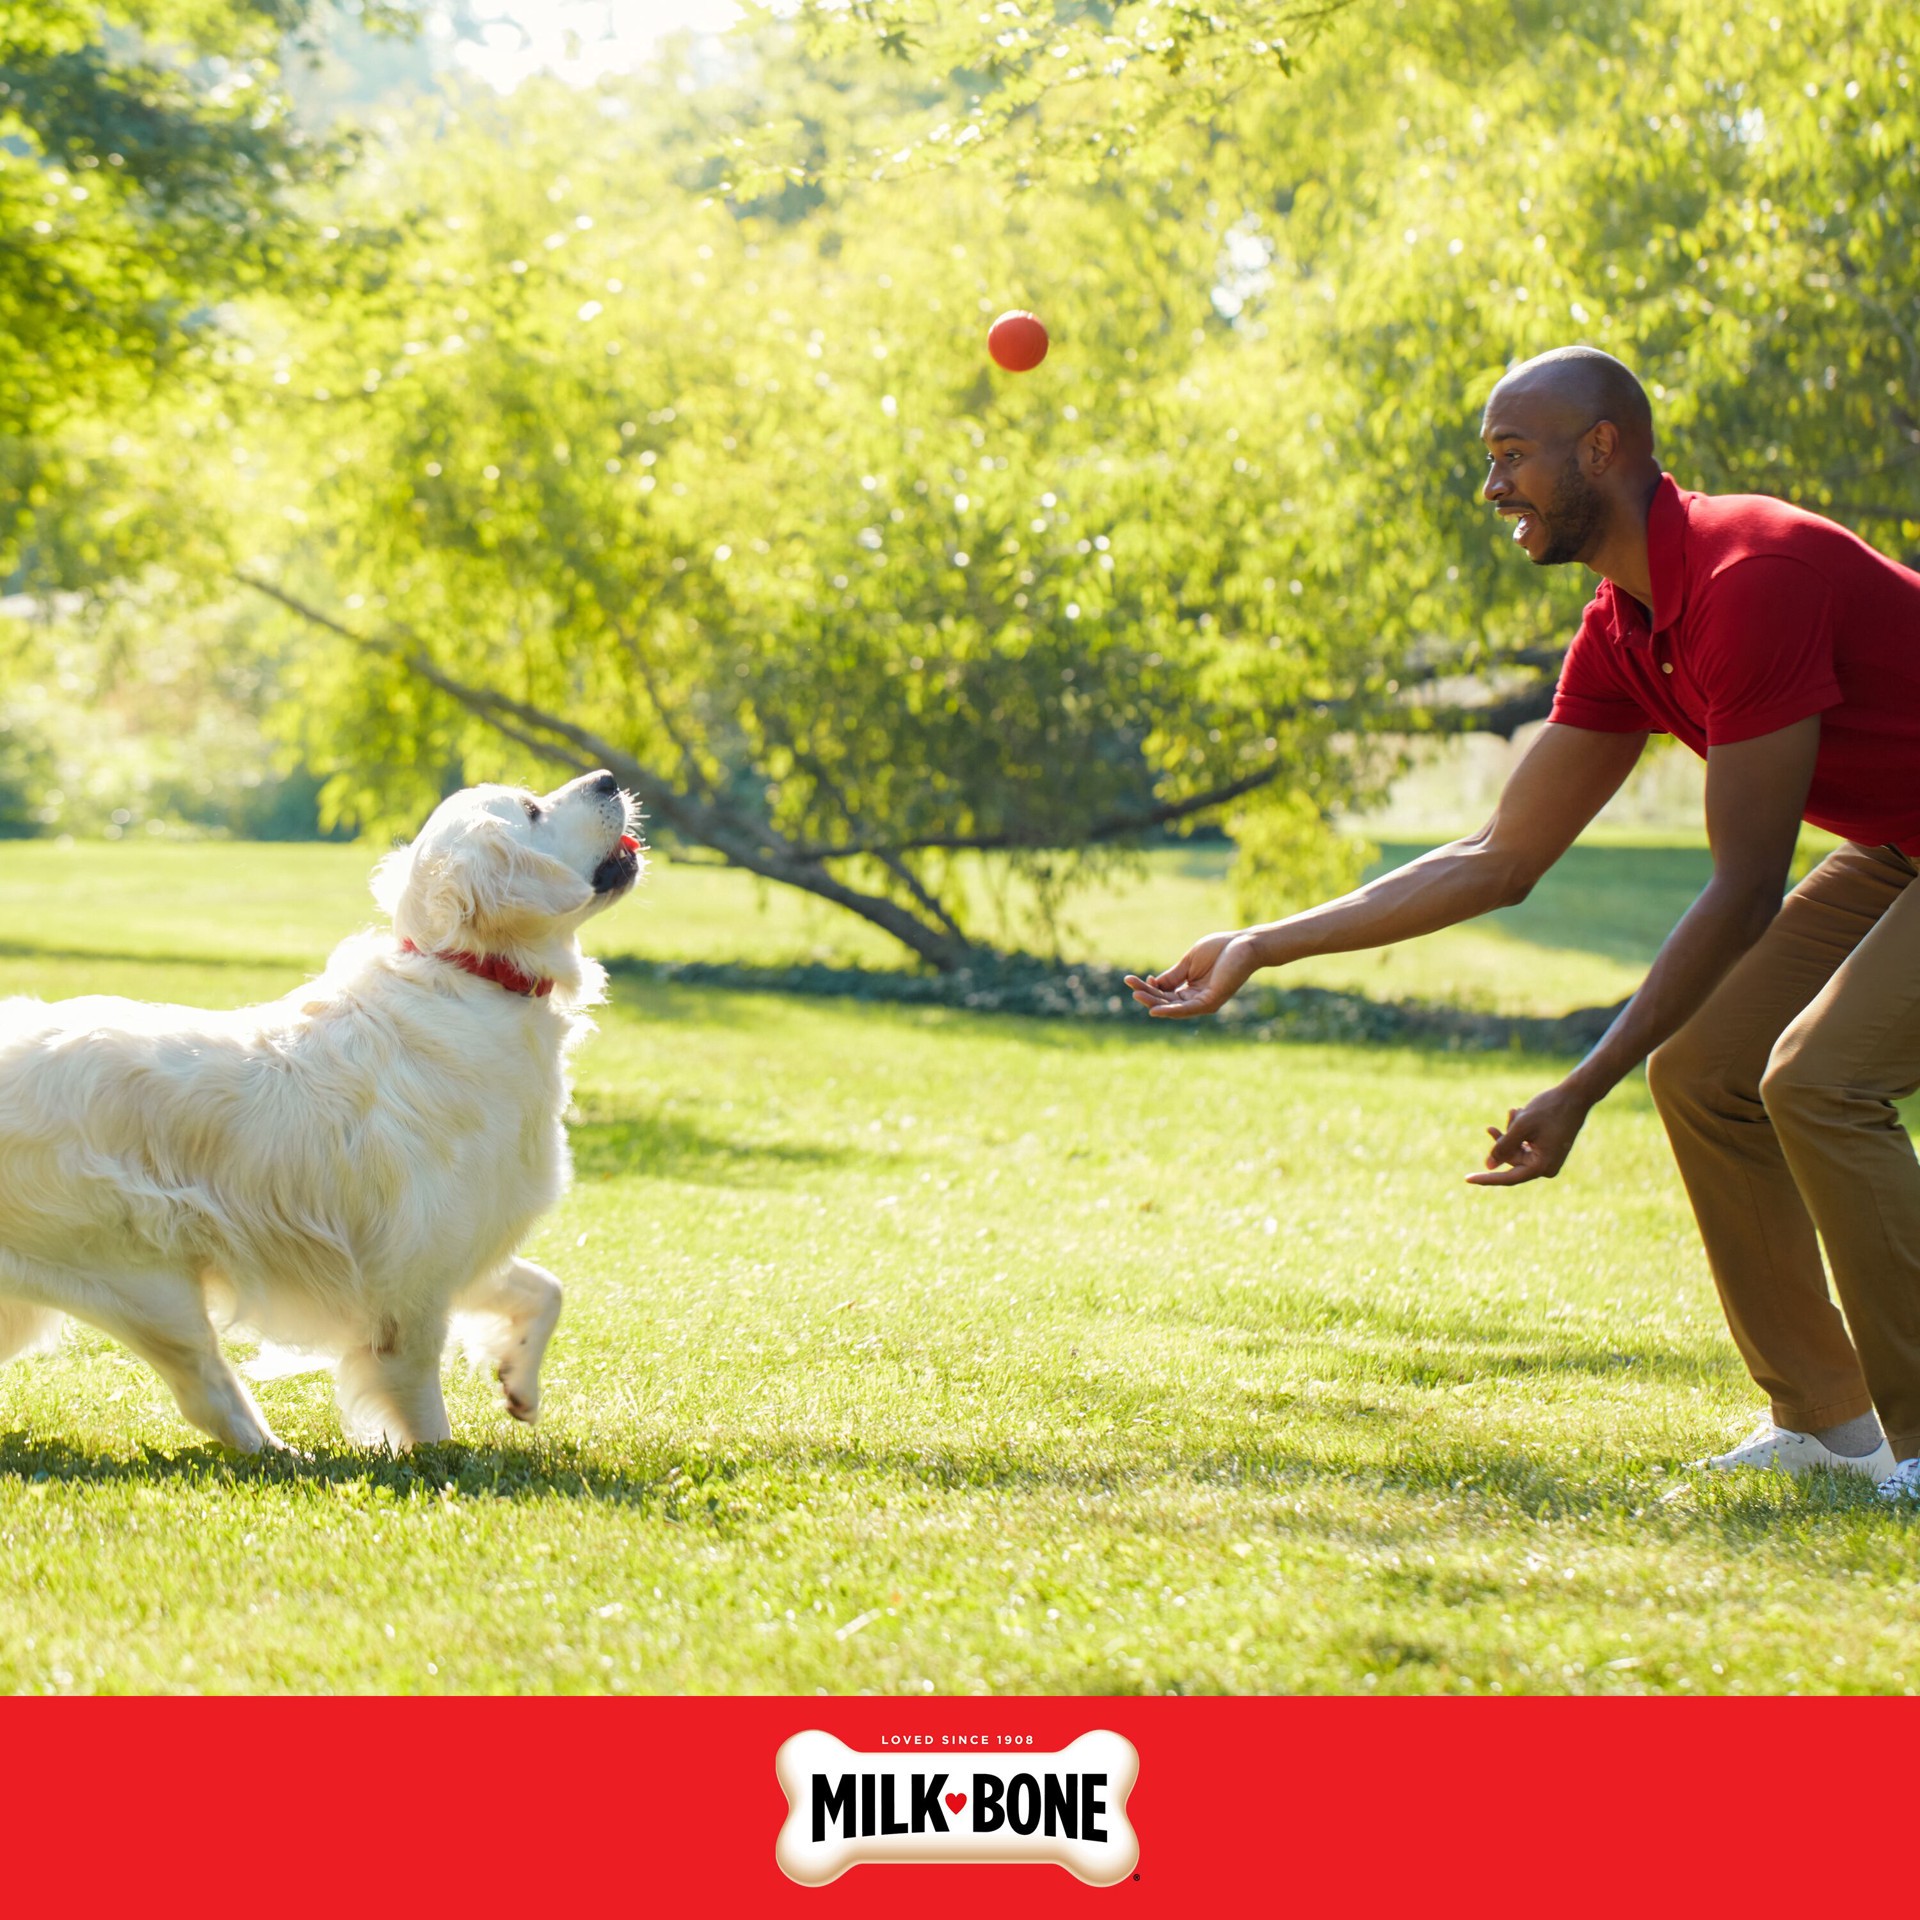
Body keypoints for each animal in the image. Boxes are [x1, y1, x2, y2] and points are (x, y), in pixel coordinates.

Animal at [0, 771, 645, 1443]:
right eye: (531, 809)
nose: (608, 778)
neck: (471, 977)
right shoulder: (408, 1287)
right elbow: (428, 1419)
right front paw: (443, 1456)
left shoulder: (465, 1244)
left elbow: (547, 1289)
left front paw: (520, 1384)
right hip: (143, 1279)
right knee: (210, 1395)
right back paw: (278, 1451)